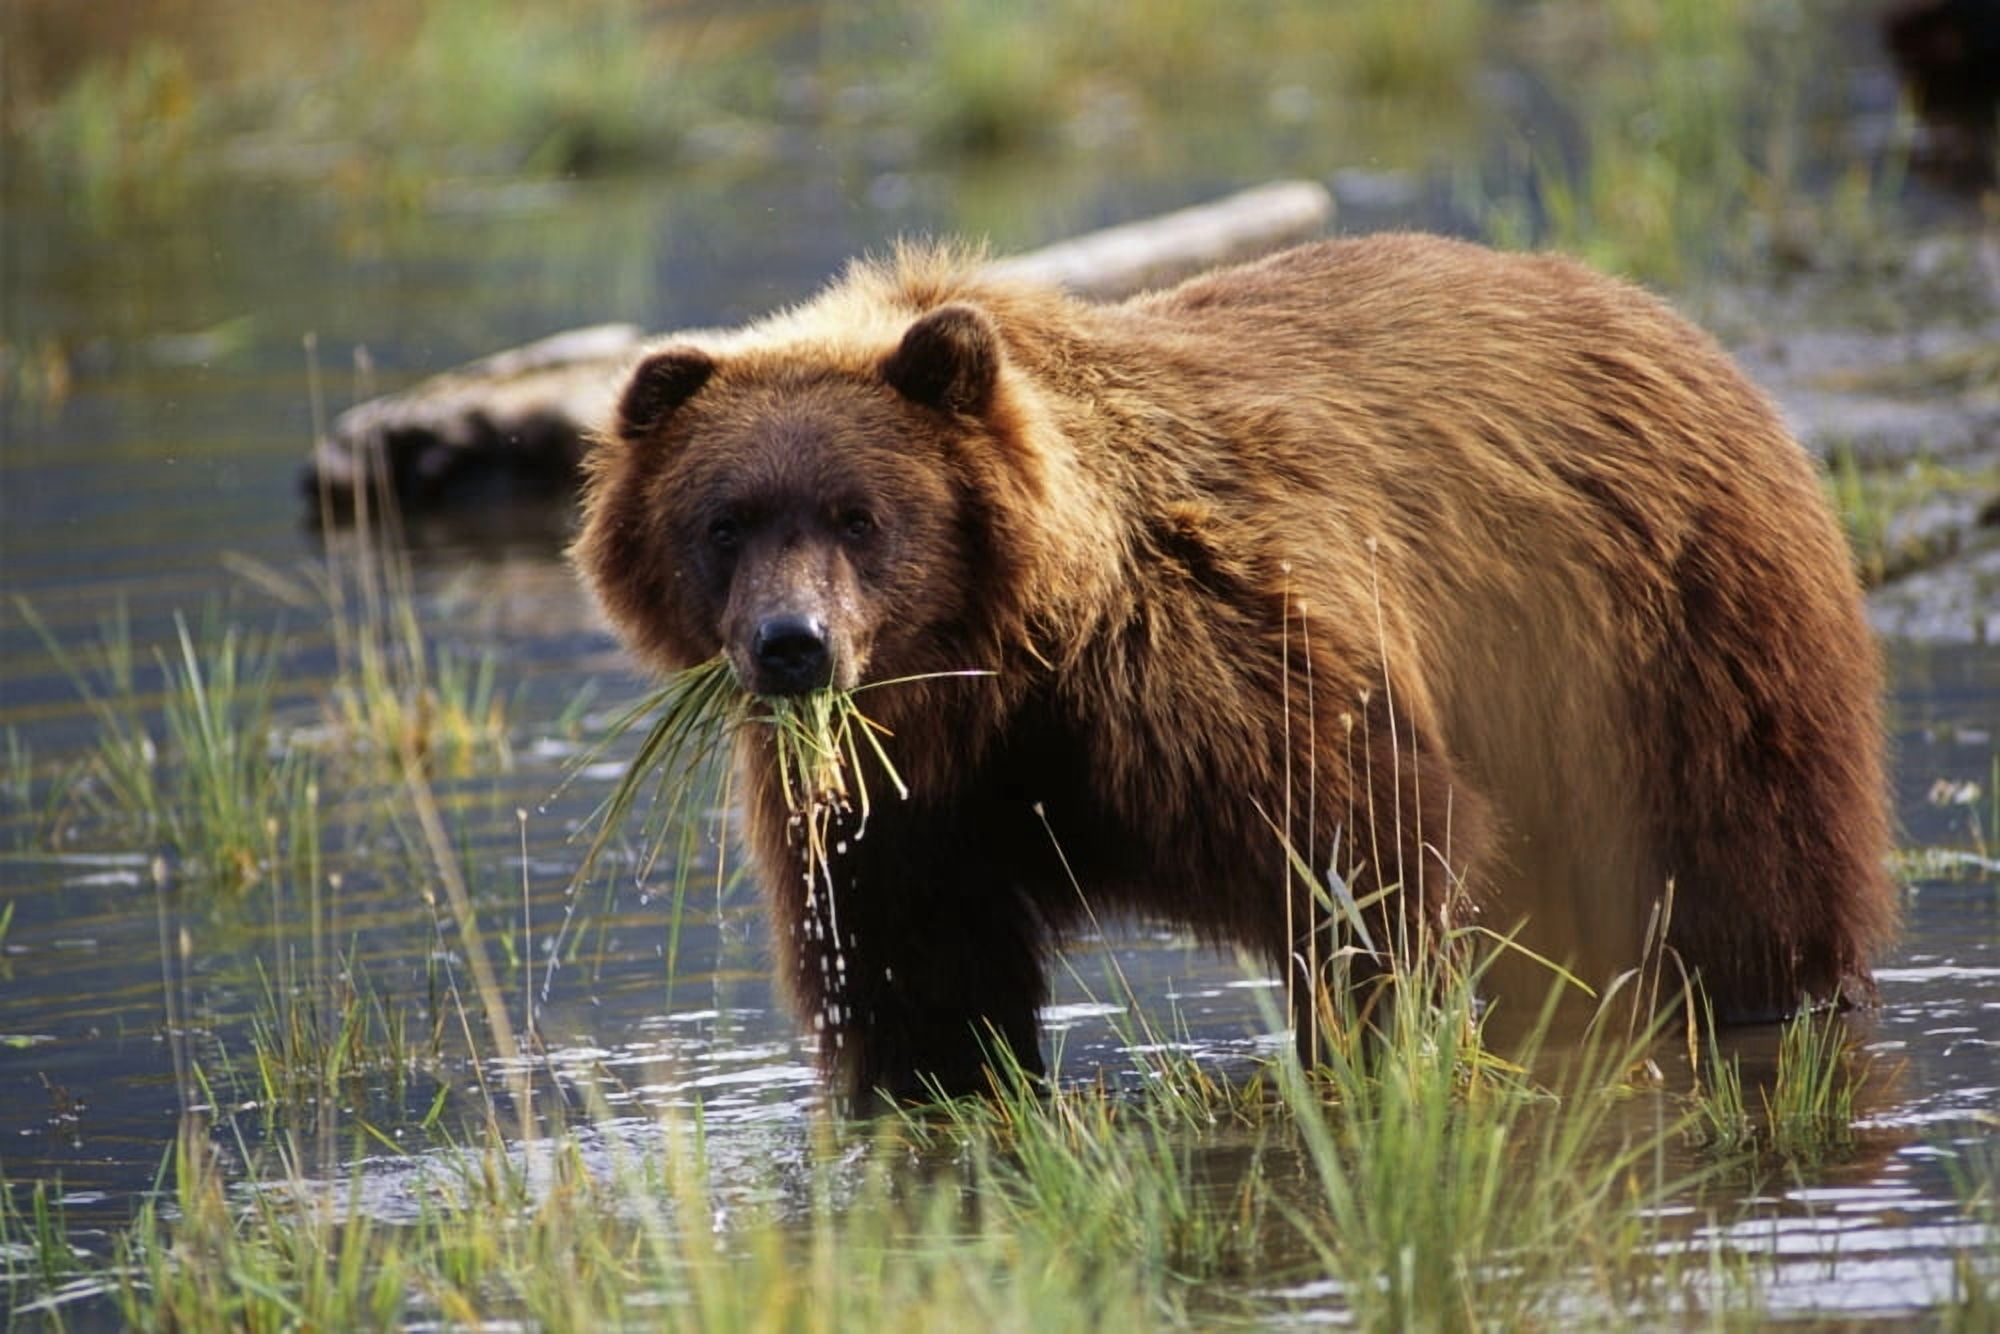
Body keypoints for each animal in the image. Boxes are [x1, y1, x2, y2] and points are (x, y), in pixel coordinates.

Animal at [571, 234, 1897, 1103]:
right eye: (724, 522)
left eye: (858, 515)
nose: (792, 645)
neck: (1006, 662)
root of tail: (1666, 320)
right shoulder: (900, 798)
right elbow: (912, 967)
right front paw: (938, 1088)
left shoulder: (1212, 660)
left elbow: (1363, 854)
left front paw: (1369, 1046)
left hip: (1659, 632)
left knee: (1742, 866)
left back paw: (1772, 998)